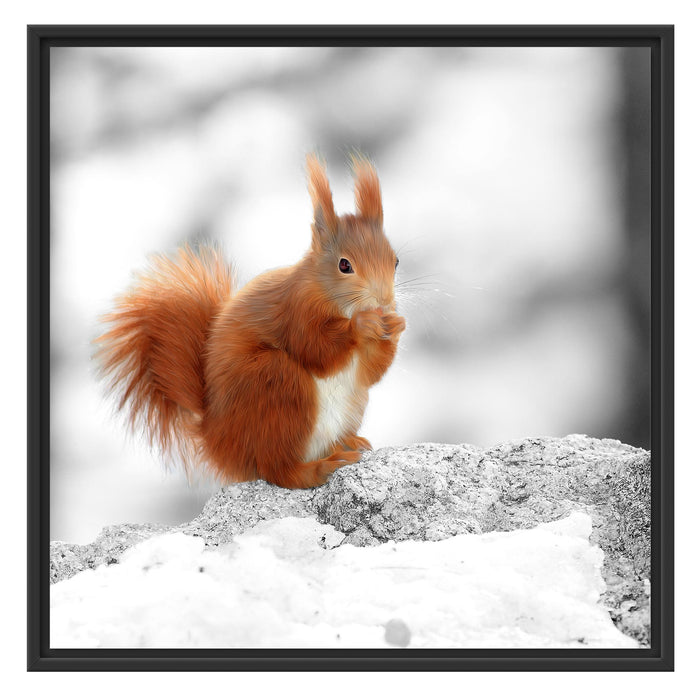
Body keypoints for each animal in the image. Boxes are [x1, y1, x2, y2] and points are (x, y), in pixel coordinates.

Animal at [94, 154, 406, 489]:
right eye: (344, 265)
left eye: (395, 261)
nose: (384, 301)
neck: (332, 298)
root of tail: (217, 441)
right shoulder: (295, 311)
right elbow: (316, 350)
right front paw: (362, 325)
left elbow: (370, 373)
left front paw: (396, 326)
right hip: (274, 385)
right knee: (278, 470)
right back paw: (320, 467)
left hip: (348, 403)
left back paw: (347, 443)